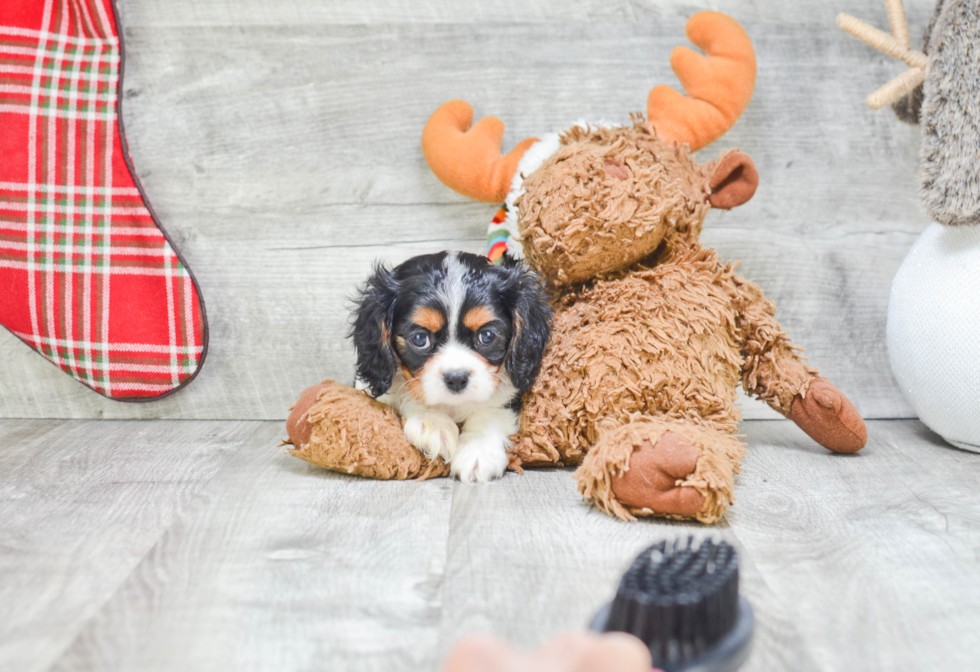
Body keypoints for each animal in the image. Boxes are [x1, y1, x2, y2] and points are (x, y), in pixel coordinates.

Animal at [352, 252, 552, 484]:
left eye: (487, 336)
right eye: (419, 339)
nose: (456, 378)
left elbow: (491, 411)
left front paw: (478, 451)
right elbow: (406, 393)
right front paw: (434, 424)